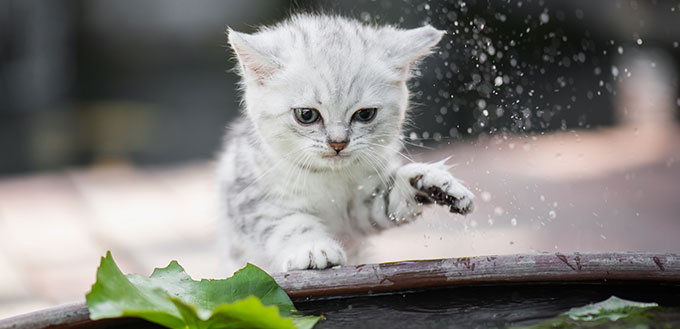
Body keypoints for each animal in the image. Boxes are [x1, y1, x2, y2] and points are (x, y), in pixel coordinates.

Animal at [218, 14, 472, 272]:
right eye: (306, 115)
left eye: (365, 114)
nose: (338, 143)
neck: (327, 177)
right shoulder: (249, 195)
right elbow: (287, 222)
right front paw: (313, 248)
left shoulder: (359, 209)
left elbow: (389, 199)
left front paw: (431, 183)